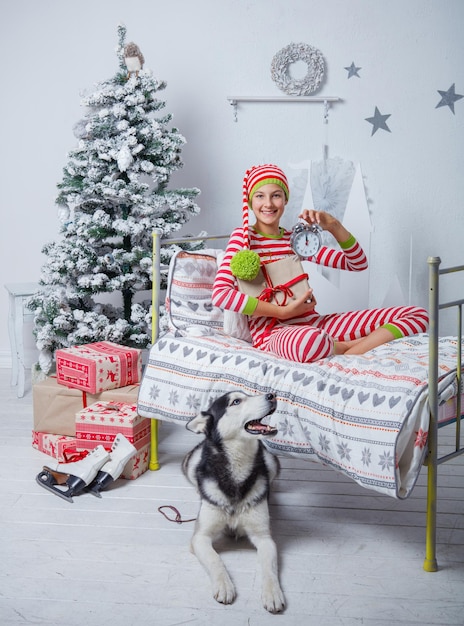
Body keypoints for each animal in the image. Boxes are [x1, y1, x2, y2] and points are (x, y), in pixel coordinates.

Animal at [180, 390, 282, 608]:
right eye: (236, 401)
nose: (272, 395)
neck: (237, 473)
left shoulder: (265, 538)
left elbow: (269, 567)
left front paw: (272, 593)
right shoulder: (200, 537)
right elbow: (215, 559)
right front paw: (224, 585)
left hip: (271, 462)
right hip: (192, 463)